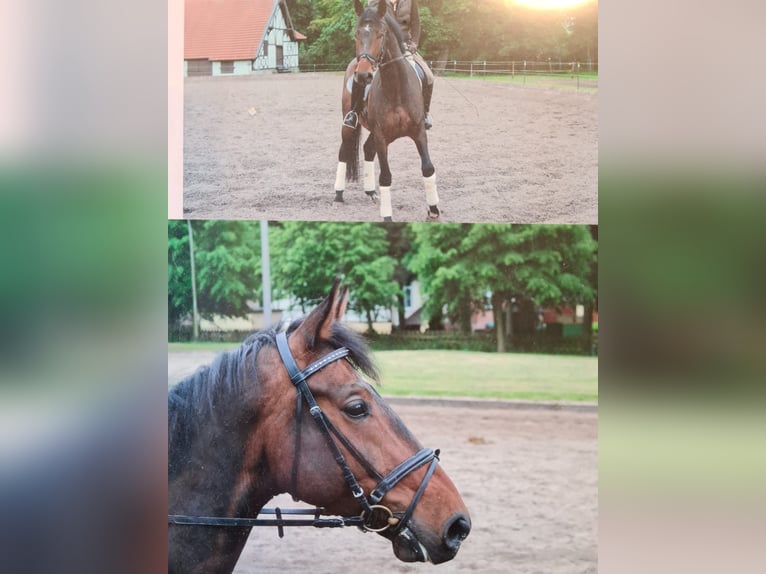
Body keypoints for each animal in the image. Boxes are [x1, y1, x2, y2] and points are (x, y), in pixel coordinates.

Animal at [334, 0, 440, 222]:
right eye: (357, 33)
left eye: (381, 34)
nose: (363, 75)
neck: (395, 86)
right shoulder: (382, 136)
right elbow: (385, 176)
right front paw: (388, 217)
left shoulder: (419, 132)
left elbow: (427, 168)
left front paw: (433, 210)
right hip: (350, 124)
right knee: (344, 151)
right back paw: (338, 194)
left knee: (367, 149)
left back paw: (370, 192)